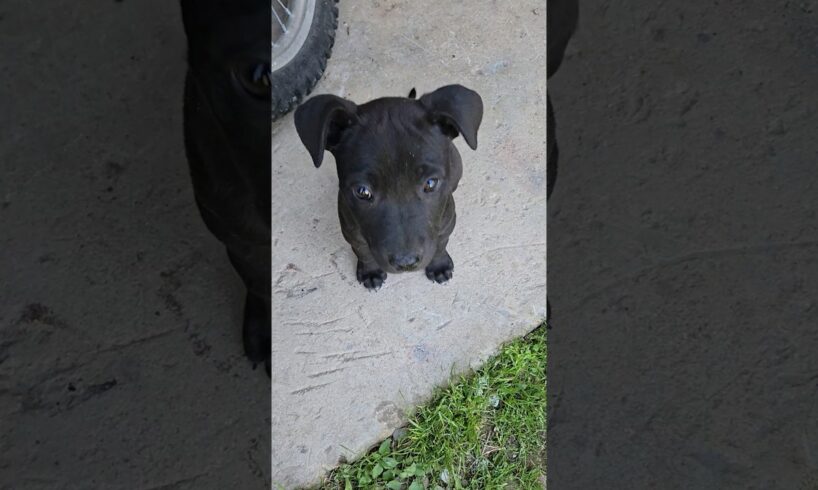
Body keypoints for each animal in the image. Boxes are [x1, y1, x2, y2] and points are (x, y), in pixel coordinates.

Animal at [294, 86, 482, 290]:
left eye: (430, 183)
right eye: (362, 191)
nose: (406, 262)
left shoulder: (447, 222)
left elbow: (440, 244)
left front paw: (439, 265)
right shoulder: (351, 231)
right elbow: (362, 251)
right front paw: (370, 271)